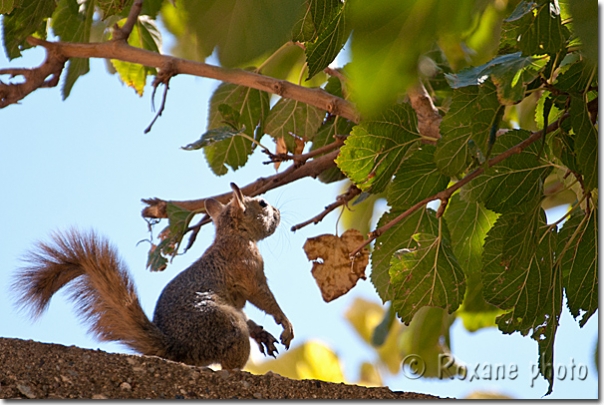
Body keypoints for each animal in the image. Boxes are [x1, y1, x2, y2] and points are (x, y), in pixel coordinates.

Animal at [14, 183, 294, 370]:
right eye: (262, 204)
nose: (279, 212)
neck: (234, 235)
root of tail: (177, 349)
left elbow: (250, 312)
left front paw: (262, 333)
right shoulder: (247, 268)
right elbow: (263, 298)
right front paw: (284, 323)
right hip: (224, 323)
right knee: (232, 349)